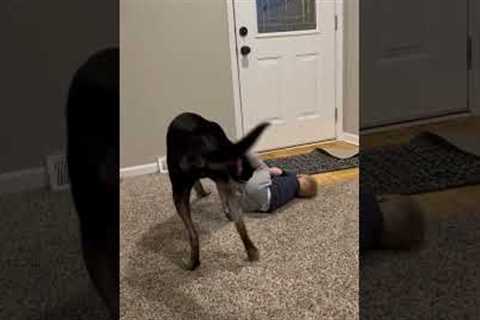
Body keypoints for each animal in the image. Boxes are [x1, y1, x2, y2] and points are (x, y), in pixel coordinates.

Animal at [167, 112, 268, 270]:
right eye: (248, 173)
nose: (246, 180)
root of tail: (197, 146)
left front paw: (202, 193)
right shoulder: (223, 180)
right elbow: (222, 197)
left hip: (180, 191)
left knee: (195, 233)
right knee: (238, 225)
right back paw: (251, 252)